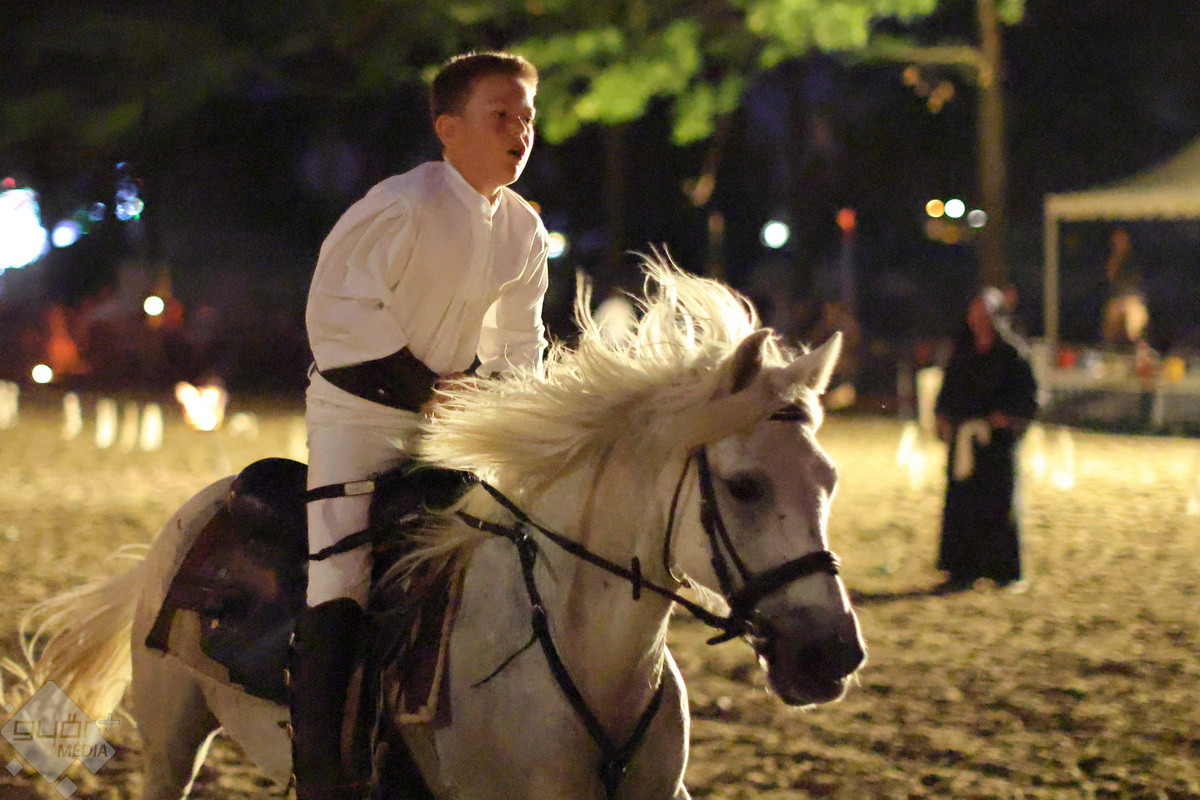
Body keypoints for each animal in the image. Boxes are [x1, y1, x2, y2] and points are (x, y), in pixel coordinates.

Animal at [15, 255, 866, 800]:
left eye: (829, 480)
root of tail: (202, 507)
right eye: (745, 485)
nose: (833, 653)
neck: (585, 663)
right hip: (171, 743)